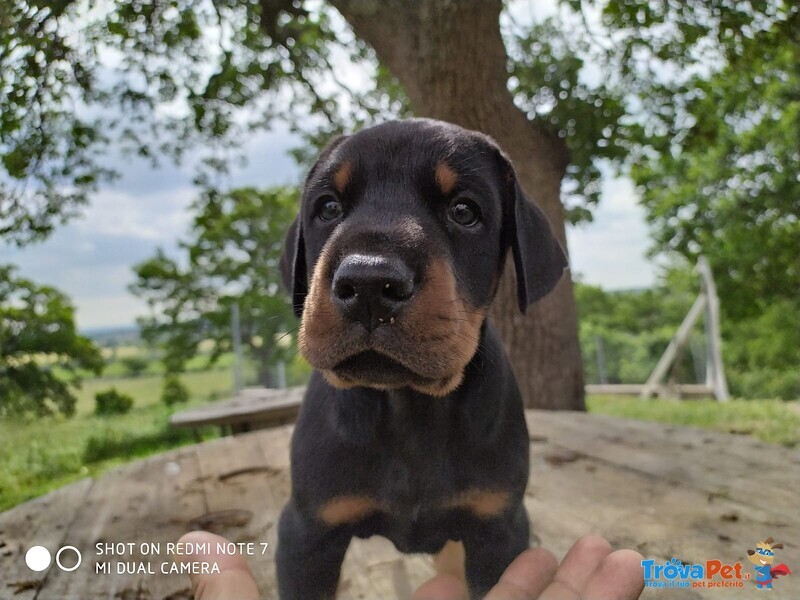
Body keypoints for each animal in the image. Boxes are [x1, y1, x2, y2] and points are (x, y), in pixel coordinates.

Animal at [278, 116, 564, 596]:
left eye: (464, 211)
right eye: (328, 207)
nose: (369, 283)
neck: (408, 405)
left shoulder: (498, 526)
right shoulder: (308, 528)